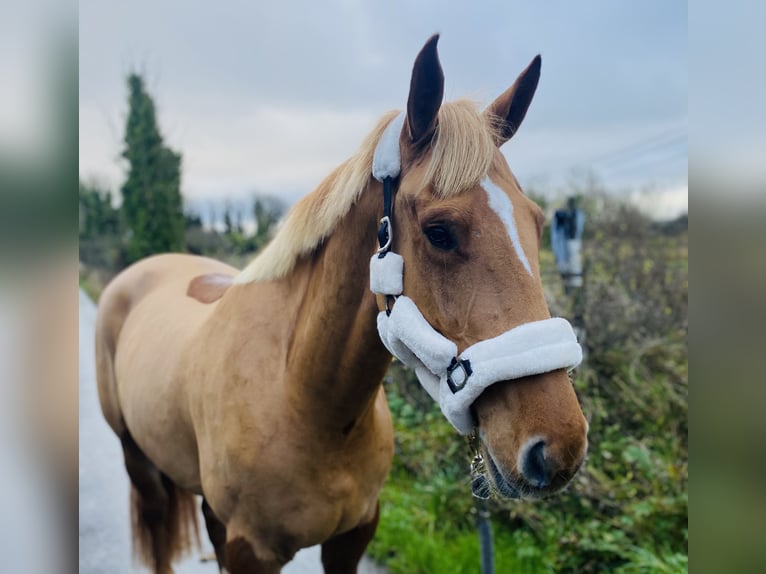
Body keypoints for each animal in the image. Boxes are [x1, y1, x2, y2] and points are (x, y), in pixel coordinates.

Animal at [94, 36, 588, 574]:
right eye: (439, 231)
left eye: (538, 223)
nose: (557, 447)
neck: (304, 400)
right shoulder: (250, 551)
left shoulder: (353, 537)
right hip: (138, 464)